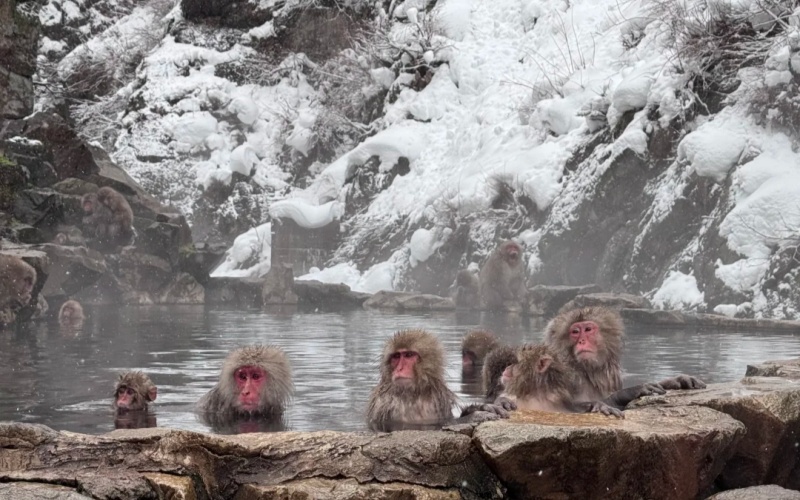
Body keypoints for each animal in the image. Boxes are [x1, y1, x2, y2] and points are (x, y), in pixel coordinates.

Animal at [545, 307, 705, 409]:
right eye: (575, 332)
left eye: (588, 329)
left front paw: (676, 380)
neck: (587, 371)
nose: (582, 341)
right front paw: (632, 391)